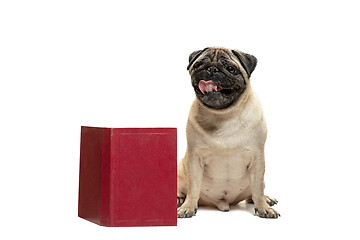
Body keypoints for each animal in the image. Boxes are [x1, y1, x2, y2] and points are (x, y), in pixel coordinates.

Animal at [176, 46, 278, 218]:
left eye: (231, 68)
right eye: (198, 65)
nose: (211, 69)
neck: (225, 116)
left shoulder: (257, 159)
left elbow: (257, 189)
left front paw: (263, 207)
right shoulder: (194, 159)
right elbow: (193, 187)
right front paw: (188, 207)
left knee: (254, 193)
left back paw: (267, 198)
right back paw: (179, 199)